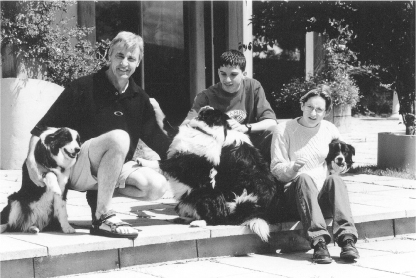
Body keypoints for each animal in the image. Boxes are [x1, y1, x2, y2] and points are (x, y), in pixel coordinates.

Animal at [140, 107, 280, 241]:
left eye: (209, 113)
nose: (206, 106)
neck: (205, 132)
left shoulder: (186, 162)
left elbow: (162, 163)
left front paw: (141, 161)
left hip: (211, 196)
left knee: (217, 219)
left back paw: (198, 223)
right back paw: (183, 219)